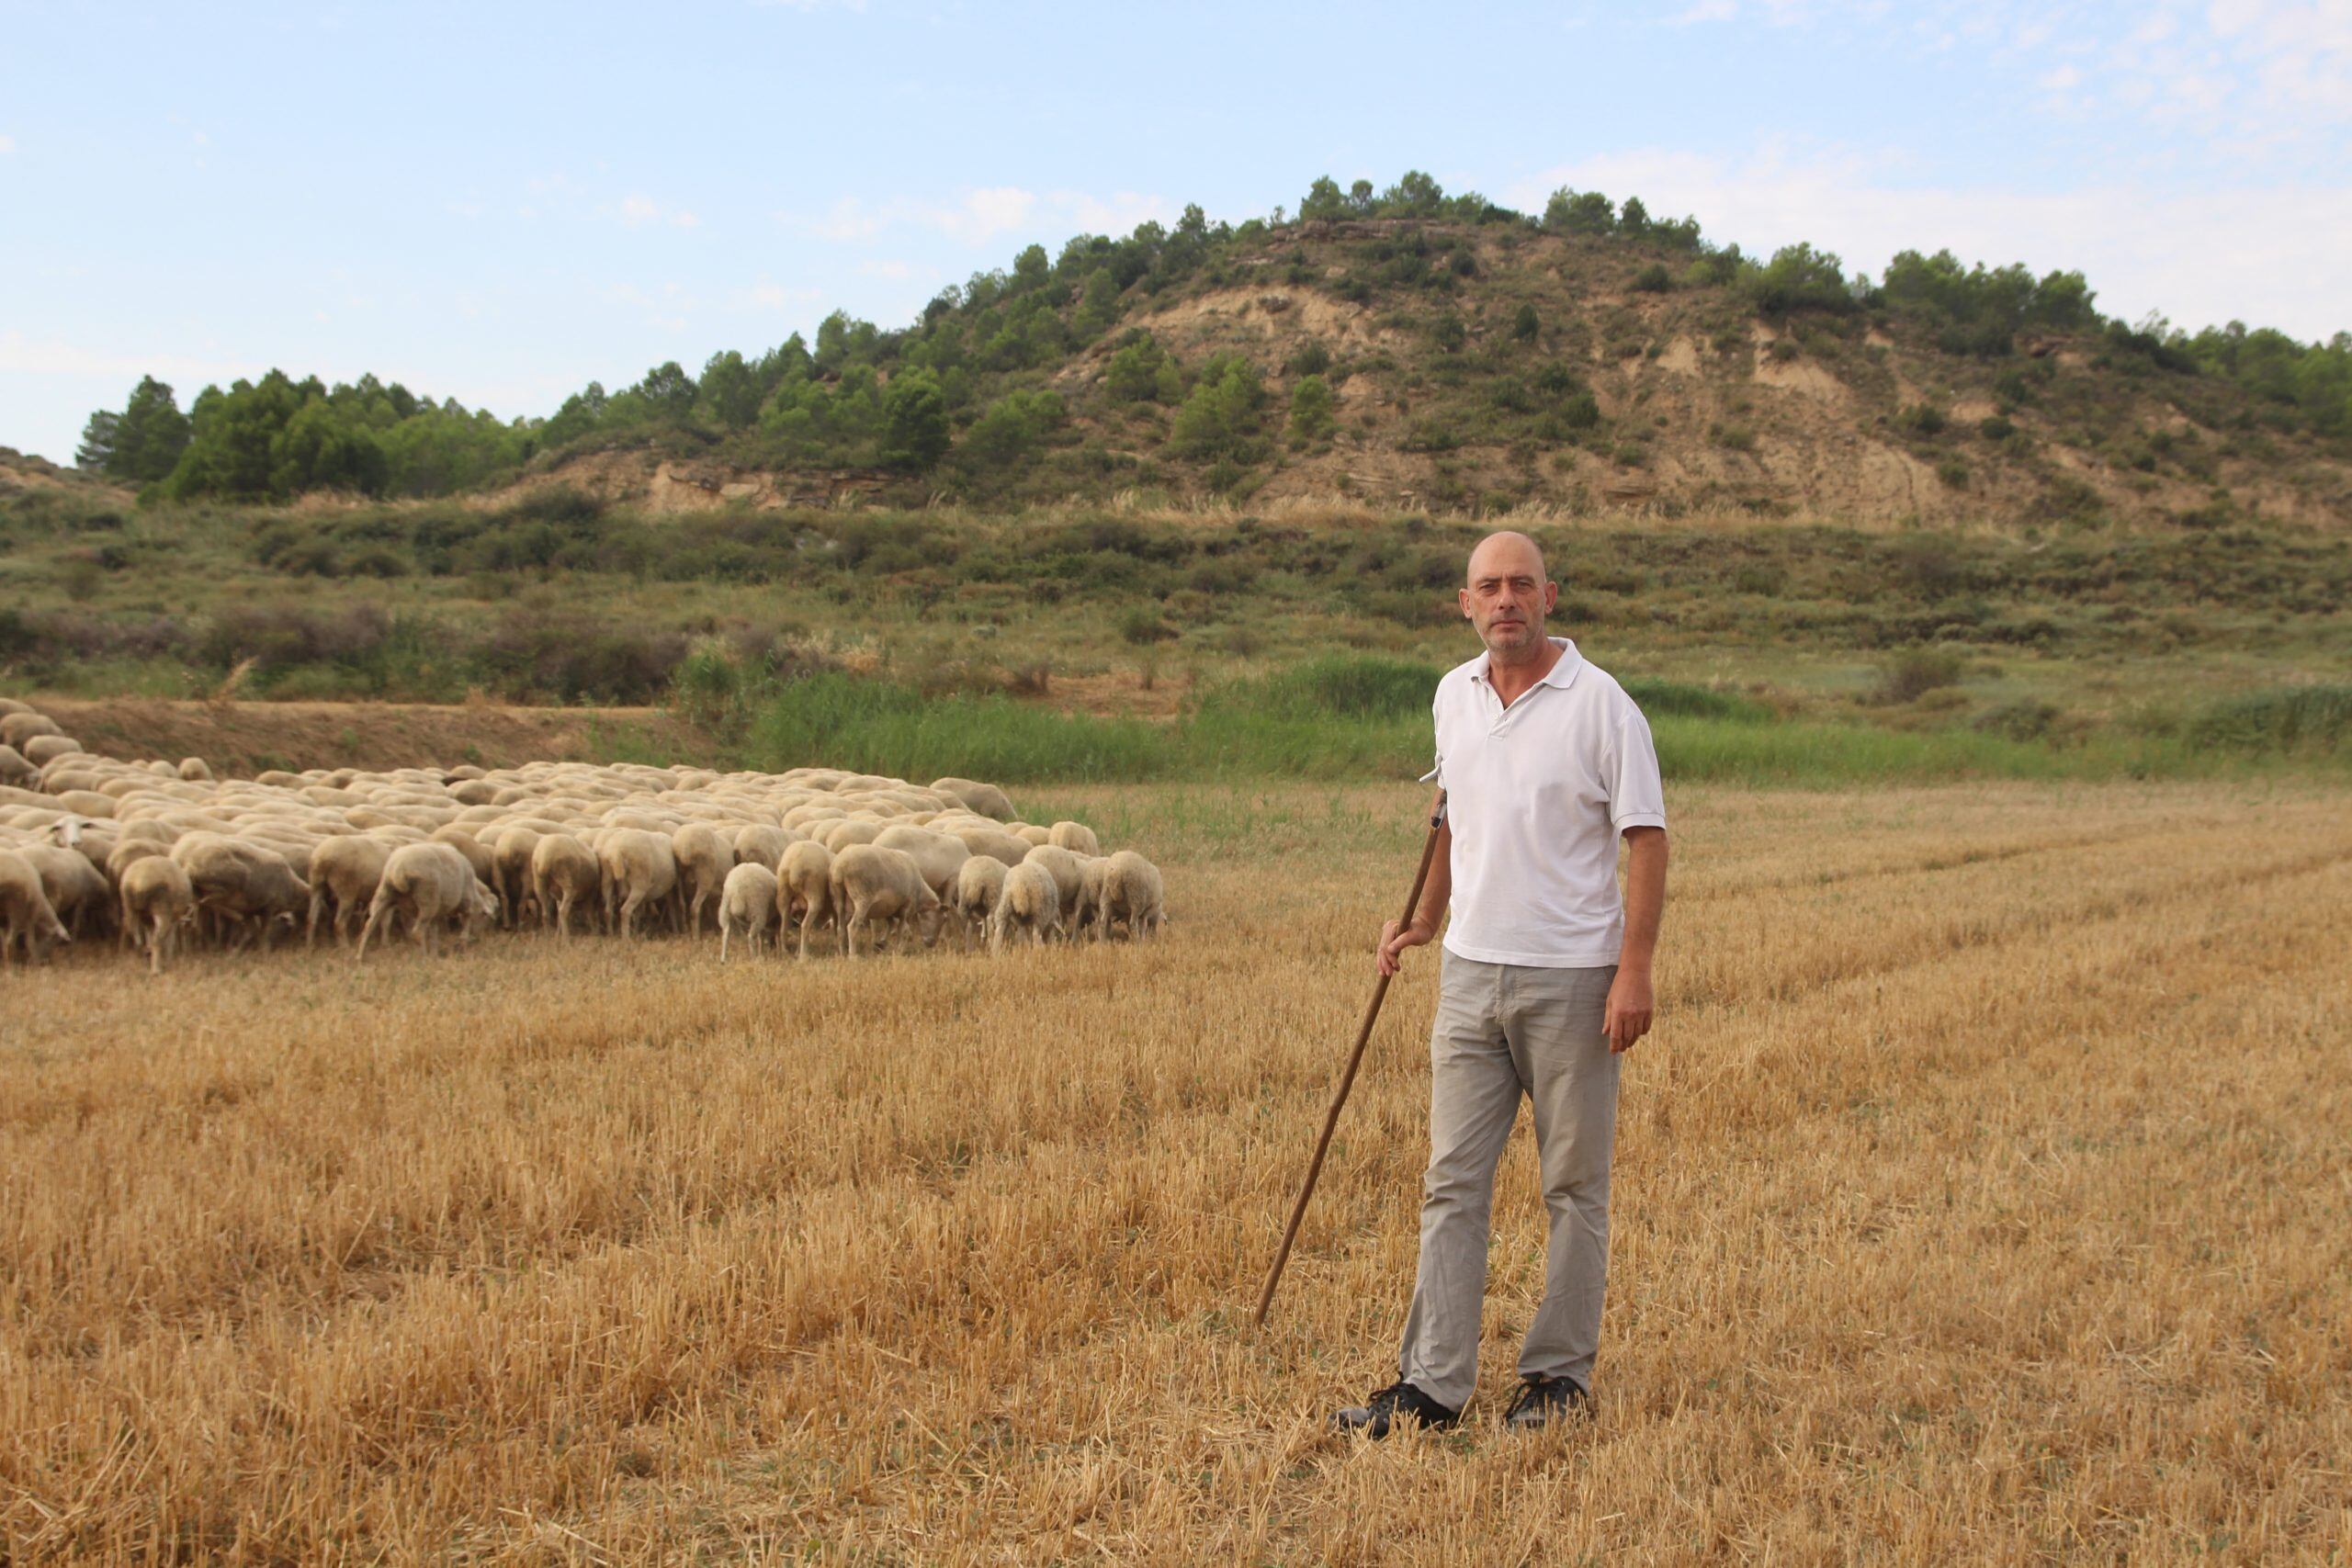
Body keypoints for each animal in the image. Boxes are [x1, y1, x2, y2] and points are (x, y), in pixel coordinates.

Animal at [0, 846, 72, 968]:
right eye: (53, 941)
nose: (45, 961)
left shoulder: (4, 920)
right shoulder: (28, 915)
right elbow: (29, 942)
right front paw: (34, 963)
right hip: (15, 906)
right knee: (11, 940)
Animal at [119, 851, 198, 973]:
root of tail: (139, 881)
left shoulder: (147, 917)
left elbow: (151, 935)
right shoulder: (173, 918)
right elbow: (170, 940)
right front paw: (168, 962)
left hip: (129, 906)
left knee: (133, 933)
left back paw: (138, 960)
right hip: (161, 907)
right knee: (157, 939)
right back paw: (156, 970)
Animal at [357, 846, 496, 959]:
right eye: (484, 915)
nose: (479, 937)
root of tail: (399, 869)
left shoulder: (437, 913)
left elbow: (434, 932)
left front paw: (434, 954)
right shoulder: (466, 903)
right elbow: (466, 922)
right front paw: (463, 943)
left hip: (384, 894)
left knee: (369, 925)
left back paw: (360, 957)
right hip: (427, 899)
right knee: (417, 932)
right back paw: (423, 957)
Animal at [780, 841, 837, 964]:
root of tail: (793, 863)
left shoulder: (802, 910)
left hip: (784, 896)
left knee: (785, 926)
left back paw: (785, 952)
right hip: (814, 893)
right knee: (805, 925)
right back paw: (804, 957)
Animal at [823, 846, 941, 959]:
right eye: (942, 920)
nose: (932, 944)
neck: (922, 894)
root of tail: (839, 867)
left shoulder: (888, 908)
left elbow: (892, 924)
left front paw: (881, 944)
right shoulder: (907, 908)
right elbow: (904, 931)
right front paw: (899, 951)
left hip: (838, 897)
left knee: (840, 928)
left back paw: (842, 954)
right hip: (862, 898)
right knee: (852, 927)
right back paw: (853, 956)